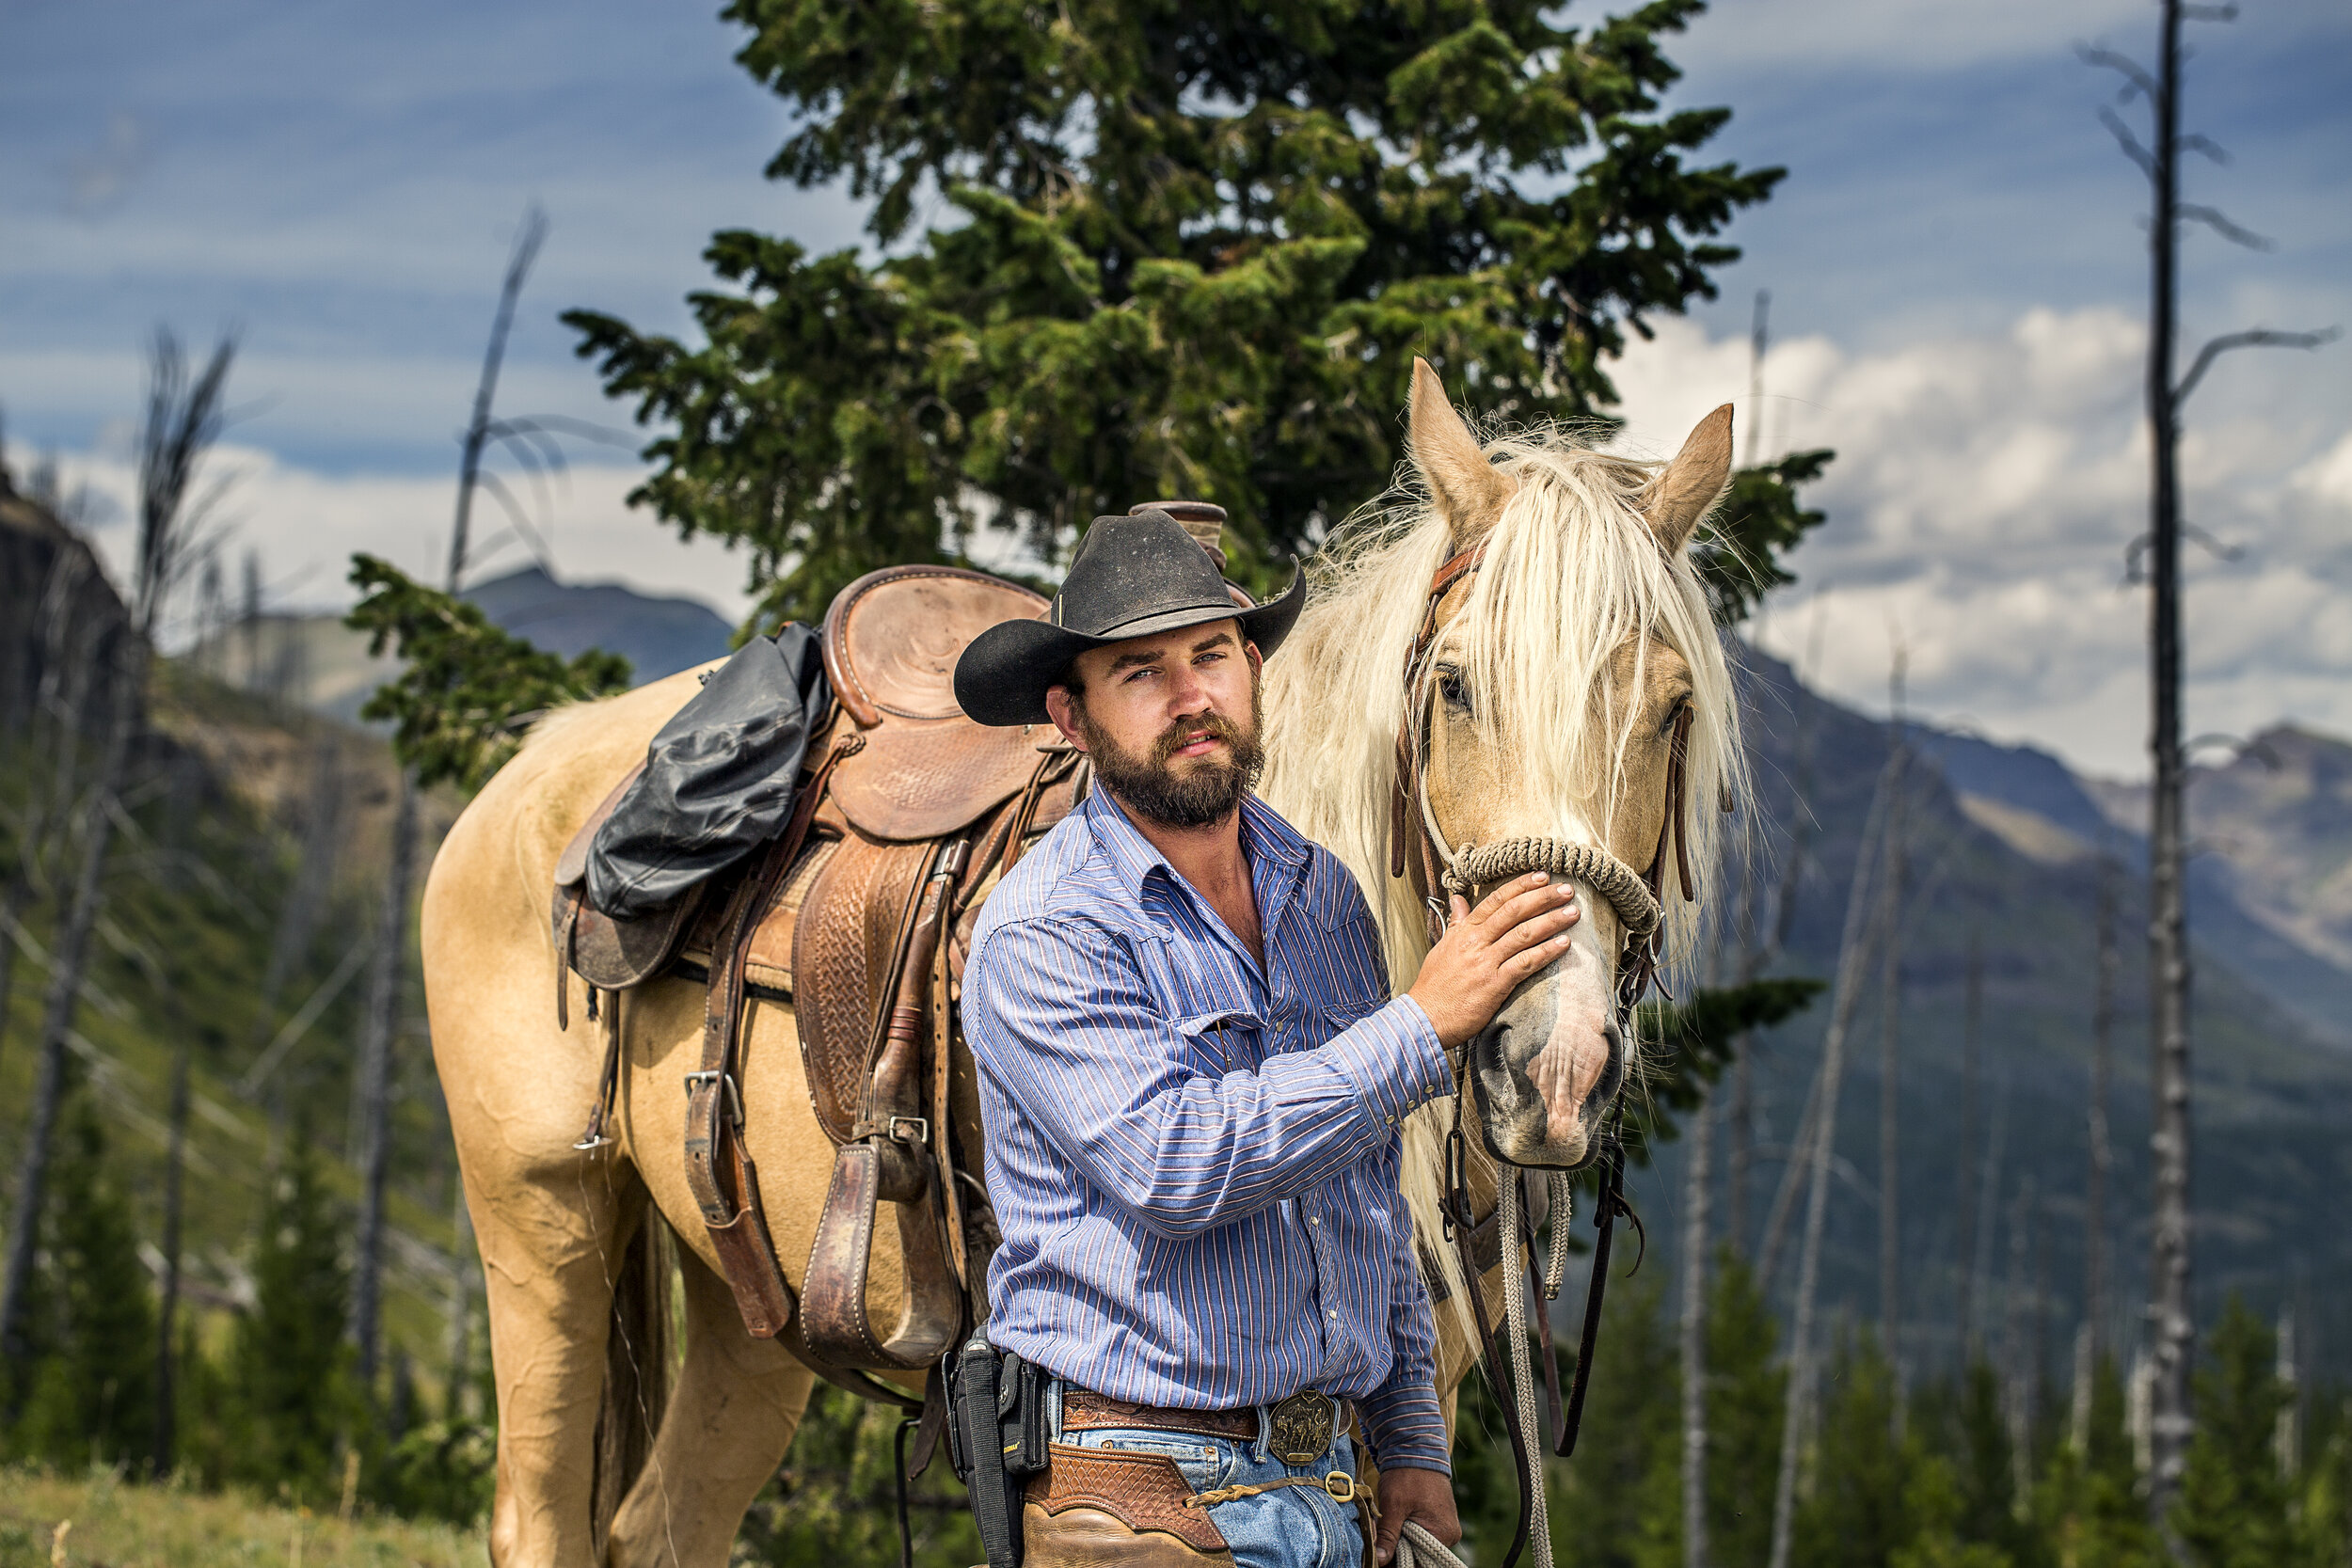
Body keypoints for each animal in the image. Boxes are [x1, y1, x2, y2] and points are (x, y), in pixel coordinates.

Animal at [428, 361, 1750, 1560]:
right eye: (1457, 686)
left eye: (1674, 709)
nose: (1552, 1065)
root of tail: (536, 761)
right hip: (543, 1225)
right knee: (538, 1516)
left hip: (750, 1307)